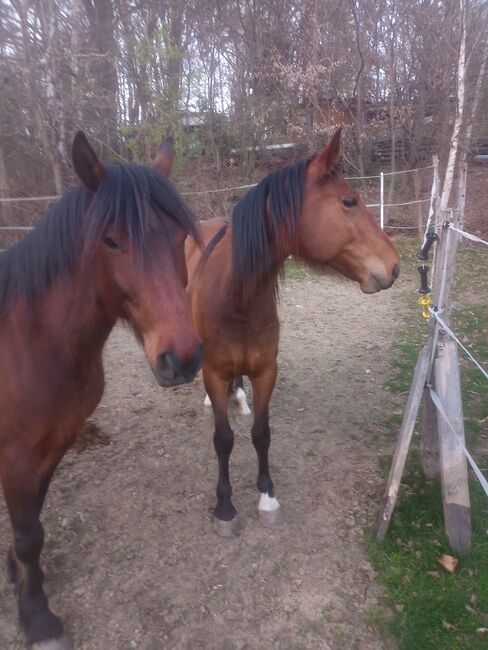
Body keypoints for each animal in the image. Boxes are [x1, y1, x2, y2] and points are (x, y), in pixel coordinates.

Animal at [0, 132, 203, 649]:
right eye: (111, 241)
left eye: (179, 238)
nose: (183, 358)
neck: (31, 339)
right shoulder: (15, 455)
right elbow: (28, 532)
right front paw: (38, 618)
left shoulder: (53, 445)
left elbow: (31, 525)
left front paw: (20, 578)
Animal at [161, 129, 400, 537]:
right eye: (349, 201)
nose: (395, 266)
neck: (236, 297)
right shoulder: (214, 372)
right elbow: (223, 439)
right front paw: (226, 507)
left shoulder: (266, 371)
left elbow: (261, 433)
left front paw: (267, 497)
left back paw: (239, 398)